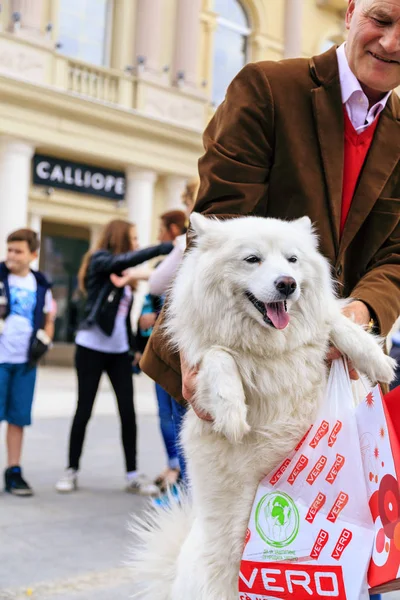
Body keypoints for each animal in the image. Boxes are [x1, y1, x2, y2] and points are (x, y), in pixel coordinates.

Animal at [130, 216, 394, 600]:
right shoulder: (201, 372)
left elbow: (333, 322)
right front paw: (232, 412)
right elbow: (219, 356)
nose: (287, 284)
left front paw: (375, 358)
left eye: (292, 260)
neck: (270, 350)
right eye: (252, 259)